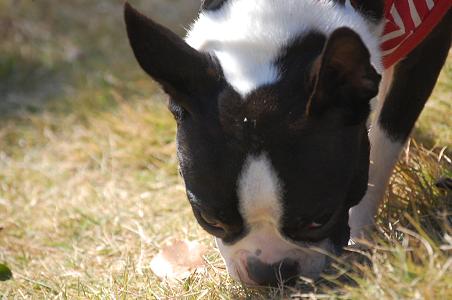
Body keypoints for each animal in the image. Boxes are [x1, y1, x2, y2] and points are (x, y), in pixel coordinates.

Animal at [124, 0, 452, 286]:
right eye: (210, 219)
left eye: (320, 220)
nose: (269, 272)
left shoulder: (425, 47)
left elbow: (382, 145)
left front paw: (359, 238)